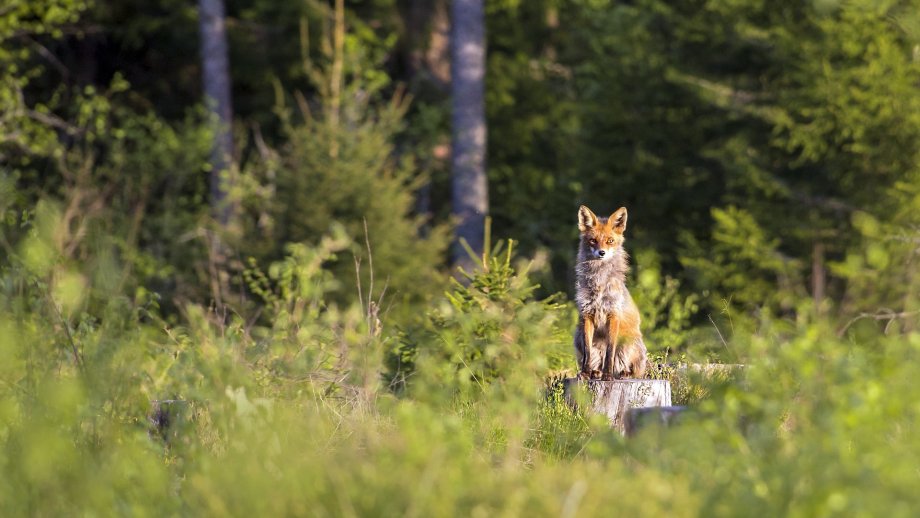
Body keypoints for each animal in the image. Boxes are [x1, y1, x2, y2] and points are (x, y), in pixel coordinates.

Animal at [574, 205, 648, 381]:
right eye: (593, 240)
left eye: (610, 241)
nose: (601, 253)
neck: (599, 283)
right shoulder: (587, 315)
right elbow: (587, 352)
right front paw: (585, 373)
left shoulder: (613, 315)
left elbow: (610, 352)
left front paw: (608, 376)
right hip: (578, 336)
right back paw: (595, 372)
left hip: (630, 343)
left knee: (633, 370)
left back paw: (622, 373)